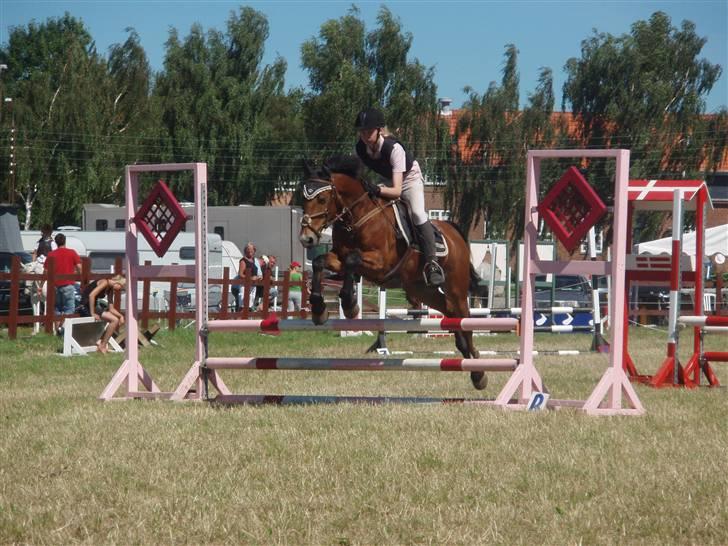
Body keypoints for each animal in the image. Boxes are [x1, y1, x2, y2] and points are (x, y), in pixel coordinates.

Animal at [296, 155, 490, 388]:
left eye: (323, 199)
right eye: (303, 199)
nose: (306, 239)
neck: (357, 217)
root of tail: (454, 232)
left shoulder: (380, 264)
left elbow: (353, 260)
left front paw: (350, 305)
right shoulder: (338, 259)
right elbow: (319, 263)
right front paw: (318, 309)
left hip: (456, 288)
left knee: (465, 318)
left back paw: (478, 371)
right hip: (422, 290)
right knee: (450, 312)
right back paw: (468, 356)